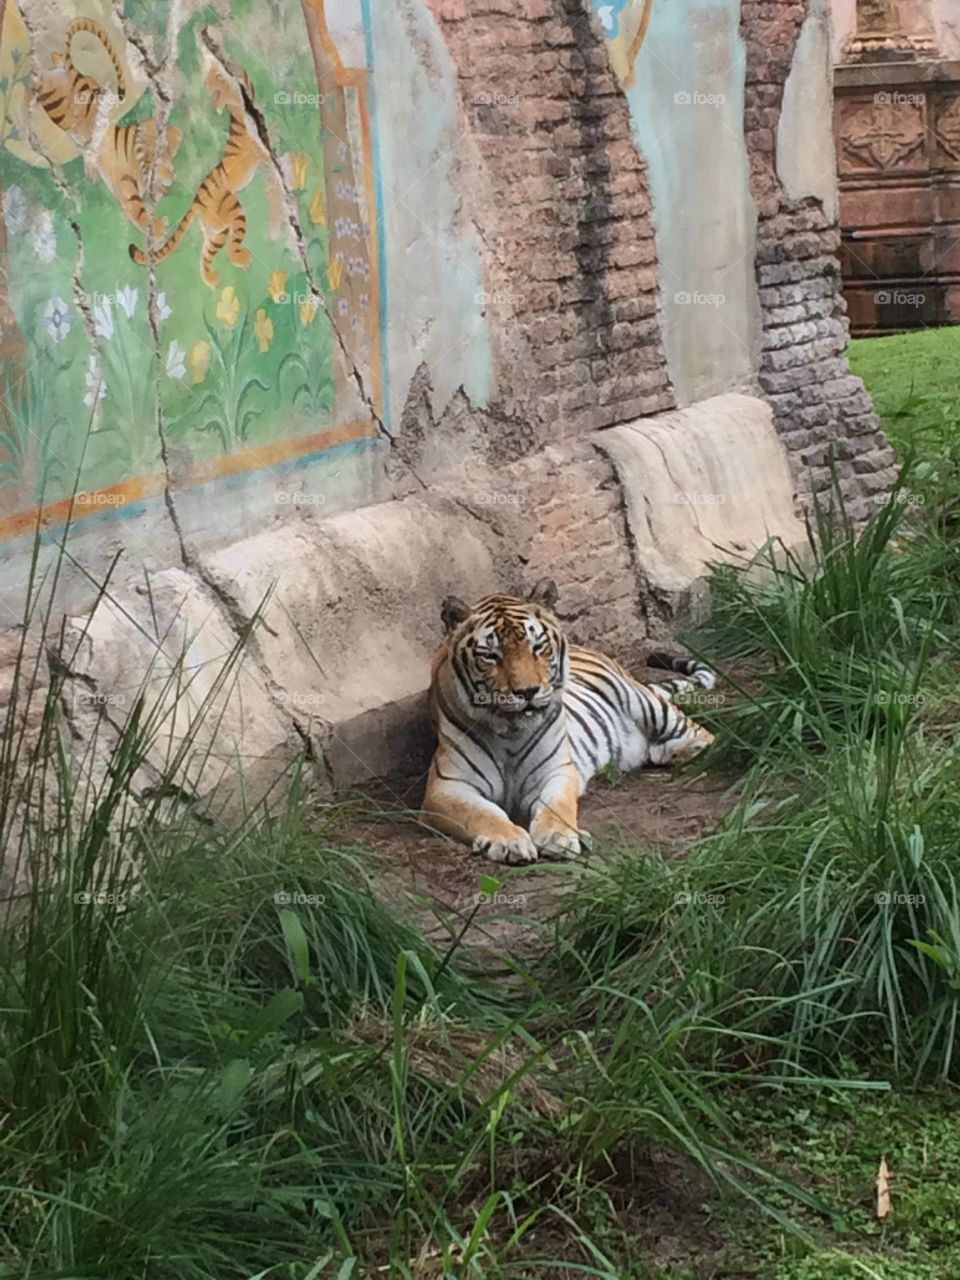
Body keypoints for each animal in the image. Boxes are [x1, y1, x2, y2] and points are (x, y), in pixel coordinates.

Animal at [36, 18, 181, 237]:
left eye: (168, 155)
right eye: (158, 157)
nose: (172, 177)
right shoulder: (128, 191)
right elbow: (140, 213)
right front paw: (159, 227)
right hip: (58, 108)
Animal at [129, 40, 282, 287]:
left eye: (215, 80)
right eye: (209, 84)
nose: (215, 100)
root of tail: (196, 200)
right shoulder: (260, 151)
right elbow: (272, 158)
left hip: (216, 231)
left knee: (205, 255)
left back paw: (211, 280)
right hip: (232, 210)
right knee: (229, 248)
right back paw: (240, 260)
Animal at [423, 579, 716, 864]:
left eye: (538, 647)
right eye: (491, 656)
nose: (528, 692)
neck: (510, 733)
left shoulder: (557, 770)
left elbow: (557, 806)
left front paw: (558, 837)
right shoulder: (447, 787)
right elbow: (483, 813)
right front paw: (509, 842)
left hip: (641, 700)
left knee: (704, 734)